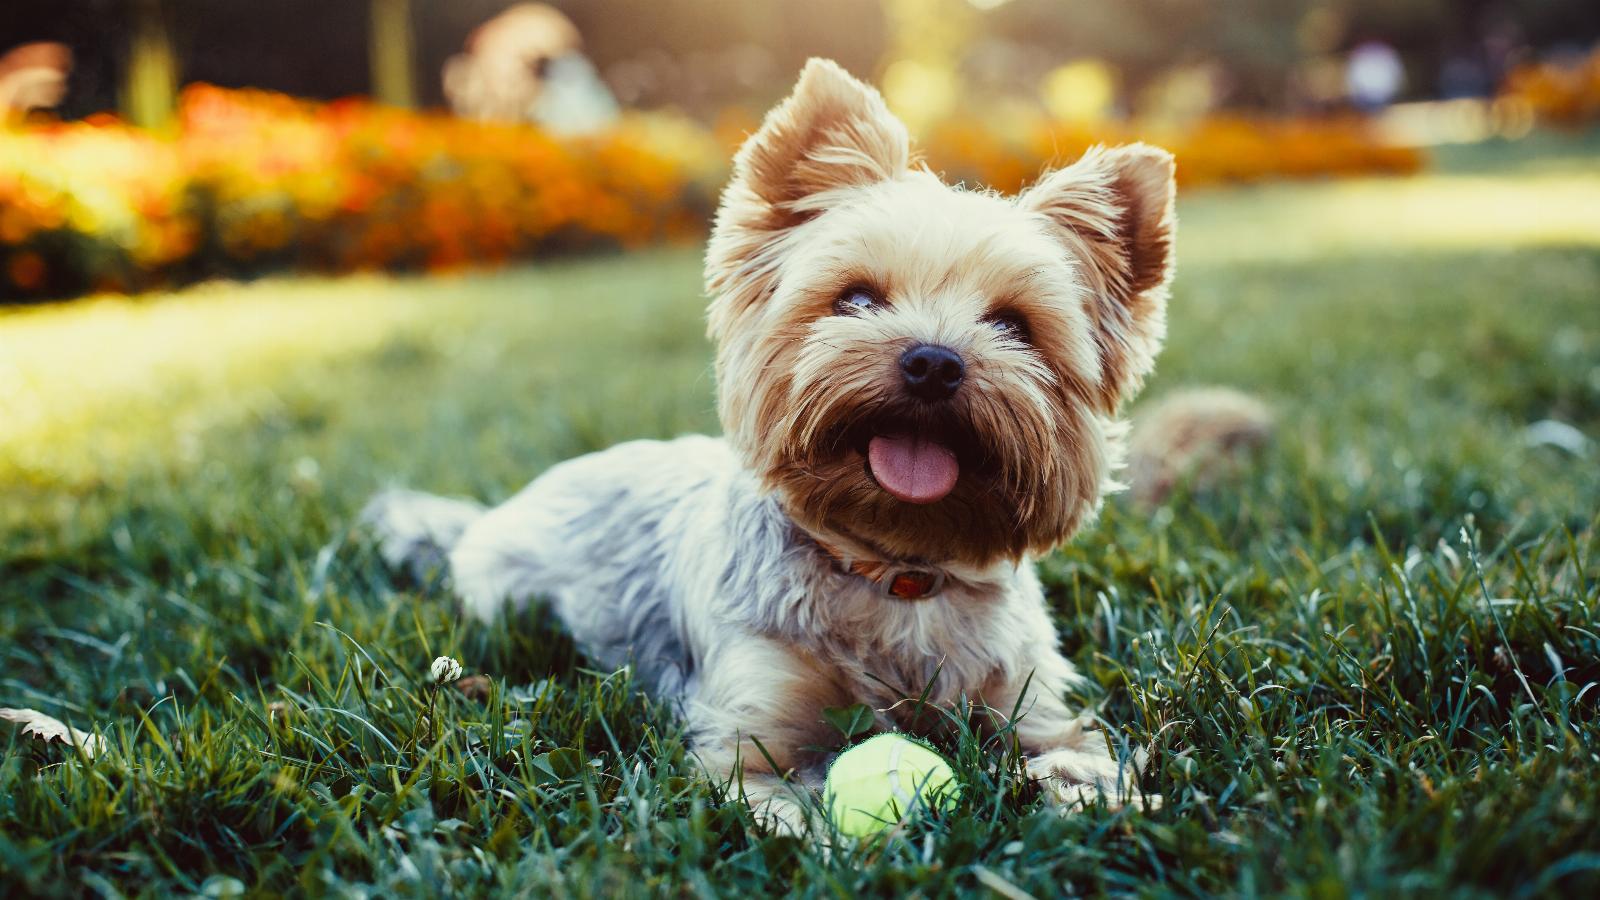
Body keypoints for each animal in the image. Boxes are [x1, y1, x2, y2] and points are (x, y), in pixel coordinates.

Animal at [368, 59, 1184, 832]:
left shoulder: (1031, 702)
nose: (934, 361)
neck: (895, 572)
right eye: (856, 298)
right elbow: (784, 801)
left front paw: (1095, 800)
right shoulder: (750, 734)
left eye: (1015, 325)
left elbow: (1075, 755)